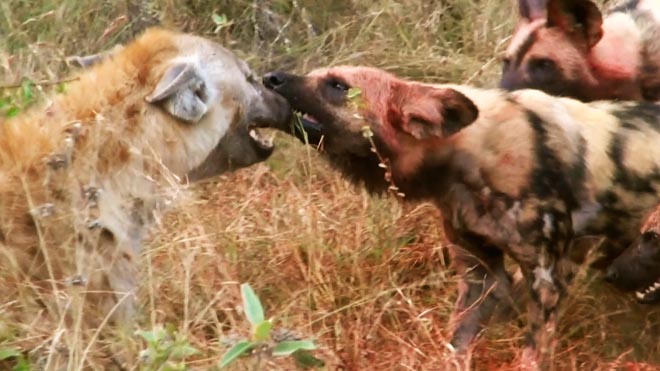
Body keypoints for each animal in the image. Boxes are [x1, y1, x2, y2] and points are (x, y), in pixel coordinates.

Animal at [264, 67, 660, 370]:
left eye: (338, 85)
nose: (271, 77)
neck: (473, 158)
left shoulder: (547, 281)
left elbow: (532, 353)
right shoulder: (480, 280)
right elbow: (457, 344)